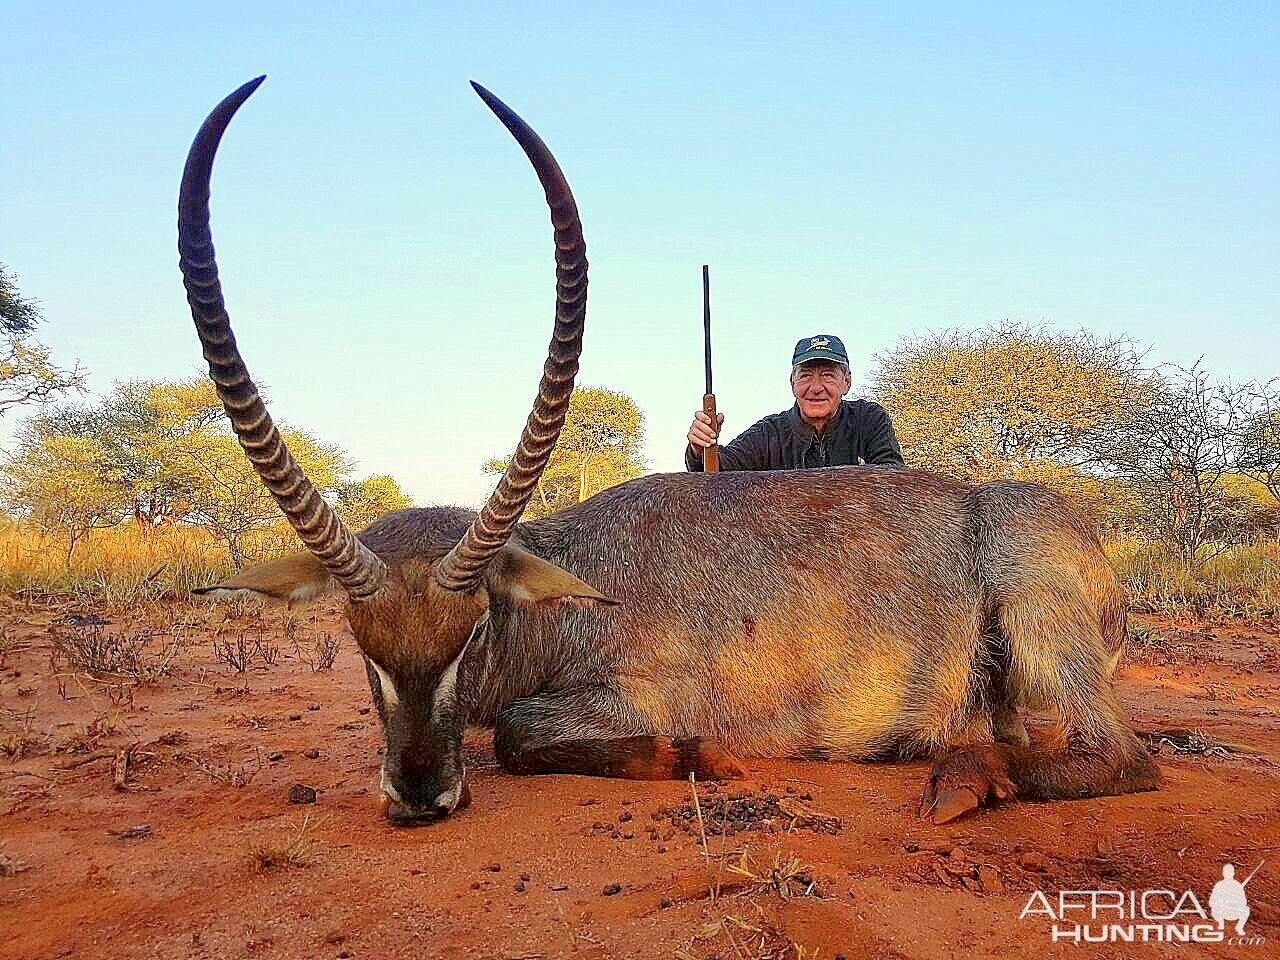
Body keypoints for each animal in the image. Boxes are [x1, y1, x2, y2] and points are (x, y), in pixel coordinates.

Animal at [183, 79, 1162, 829]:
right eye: (358, 641)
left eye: (474, 630)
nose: (421, 796)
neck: (575, 585)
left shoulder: (634, 694)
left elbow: (518, 734)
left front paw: (705, 758)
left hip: (1034, 601)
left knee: (1128, 759)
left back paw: (960, 777)